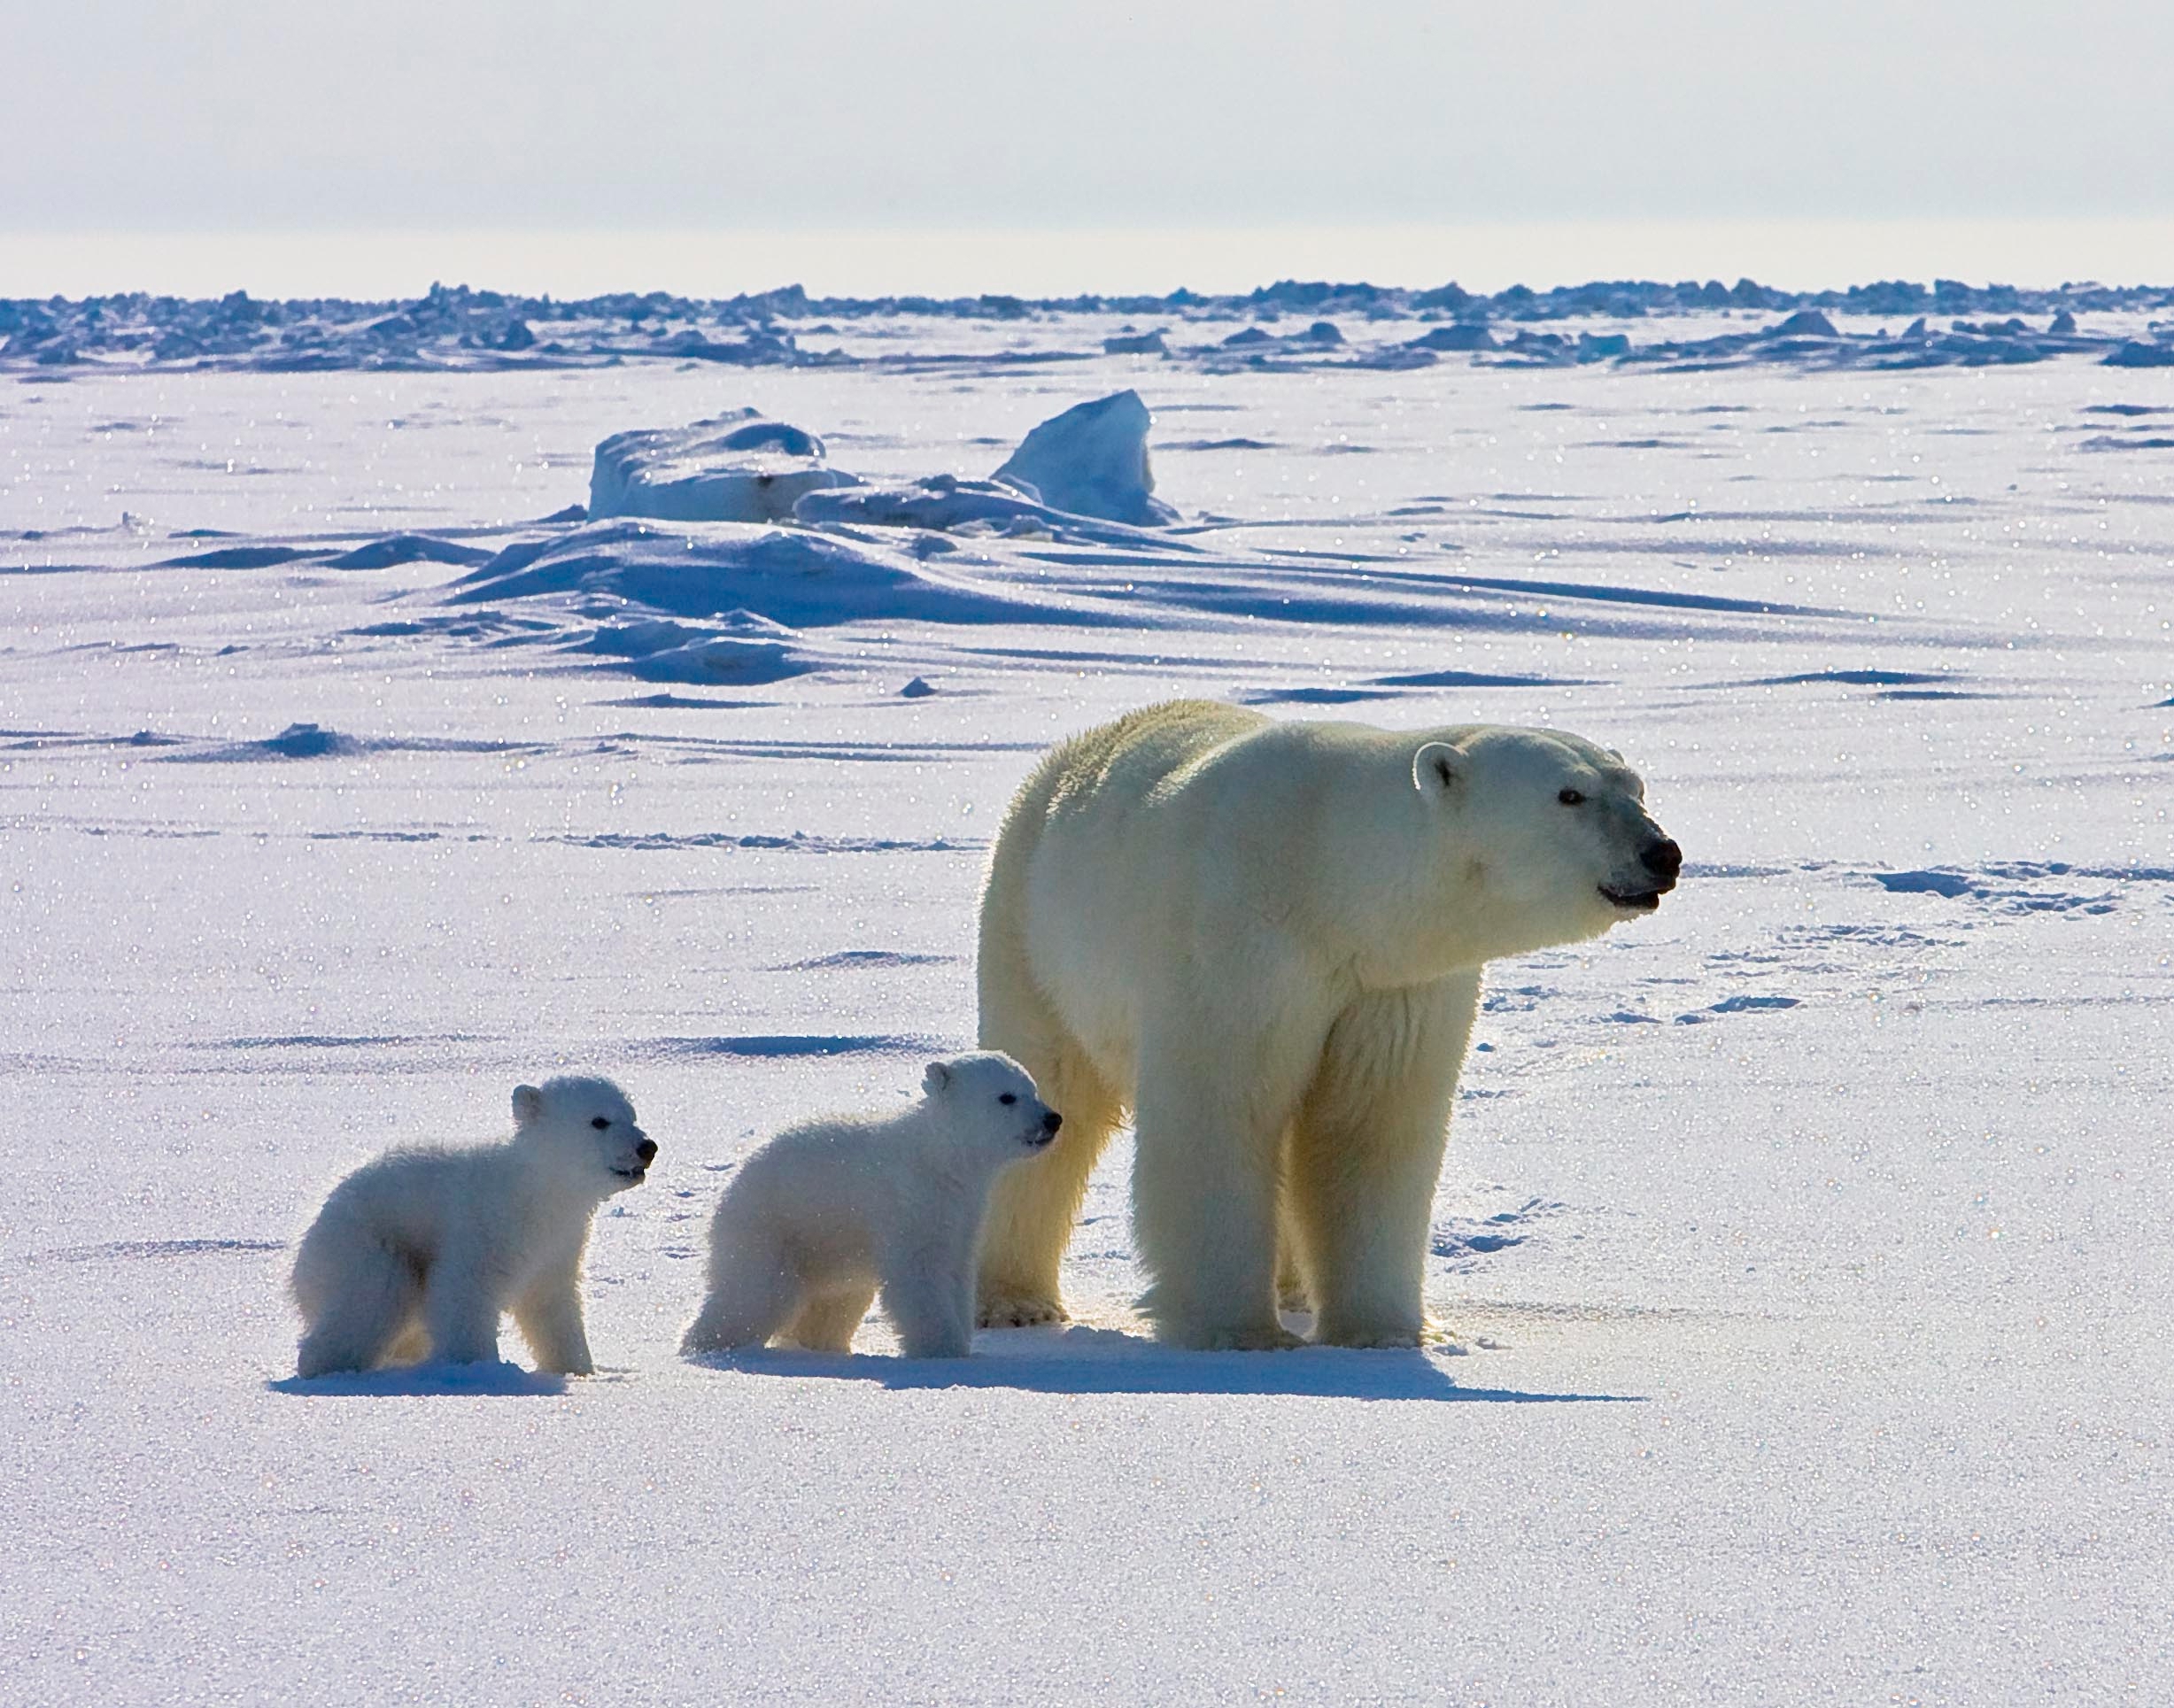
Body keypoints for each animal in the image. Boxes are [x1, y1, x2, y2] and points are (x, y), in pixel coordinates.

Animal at [293, 1073, 656, 1373]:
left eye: (632, 1115)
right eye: (599, 1121)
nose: (647, 1147)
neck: (535, 1193)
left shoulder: (558, 1246)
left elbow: (552, 1307)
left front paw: (578, 1368)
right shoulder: (486, 1225)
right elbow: (463, 1293)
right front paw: (476, 1368)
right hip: (367, 1243)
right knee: (373, 1298)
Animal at [674, 1051, 1056, 1356]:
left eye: (1033, 1089)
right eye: (1007, 1097)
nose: (1053, 1119)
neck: (937, 1158)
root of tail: (729, 1193)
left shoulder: (962, 1214)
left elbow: (957, 1272)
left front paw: (960, 1341)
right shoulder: (908, 1203)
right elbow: (920, 1277)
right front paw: (943, 1349)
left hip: (828, 1252)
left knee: (834, 1304)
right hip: (772, 1228)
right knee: (754, 1295)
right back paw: (706, 1344)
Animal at [973, 699, 1678, 1347]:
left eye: (1636, 787)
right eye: (1569, 793)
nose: (1662, 853)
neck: (1327, 879)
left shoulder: (1393, 984)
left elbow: (1368, 1127)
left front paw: (1383, 1333)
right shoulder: (1236, 948)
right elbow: (1223, 1113)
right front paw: (1237, 1331)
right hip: (1032, 933)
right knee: (1051, 1091)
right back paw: (1014, 1302)